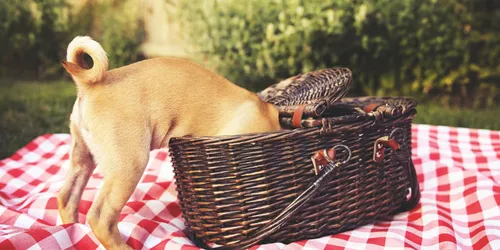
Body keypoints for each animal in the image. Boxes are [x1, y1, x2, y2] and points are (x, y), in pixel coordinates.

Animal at [57, 36, 282, 249]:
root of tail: (90, 85)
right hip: (129, 165)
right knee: (101, 218)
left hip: (82, 158)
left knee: (67, 197)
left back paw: (72, 230)